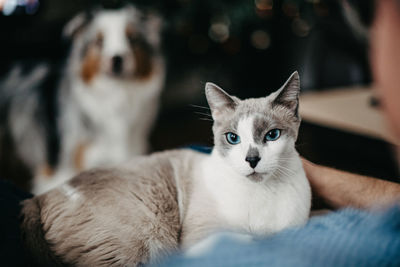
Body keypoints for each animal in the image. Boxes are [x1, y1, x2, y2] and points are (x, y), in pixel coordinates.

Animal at [20, 72, 310, 266]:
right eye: (232, 138)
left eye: (272, 135)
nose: (252, 159)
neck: (263, 195)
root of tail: (40, 197)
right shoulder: (204, 237)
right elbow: (244, 244)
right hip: (140, 246)